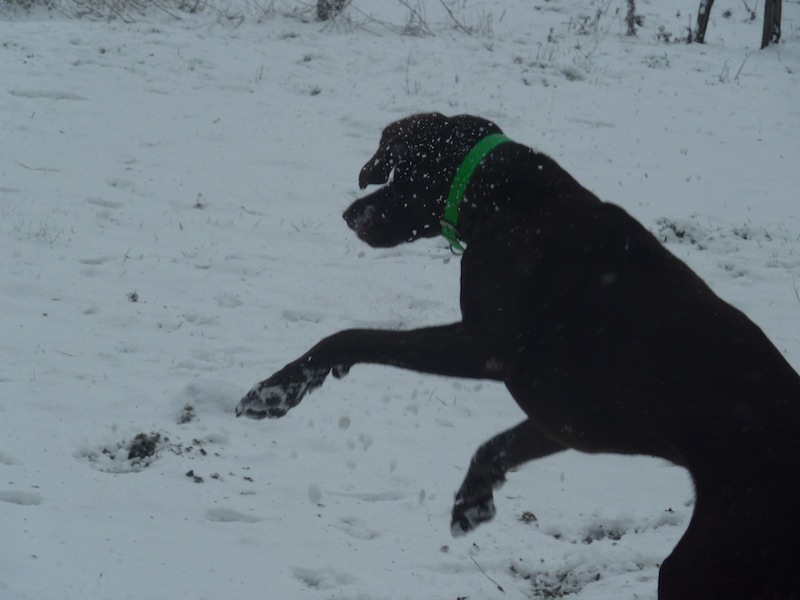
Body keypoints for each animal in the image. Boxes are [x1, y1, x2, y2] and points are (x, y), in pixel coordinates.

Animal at [238, 113, 800, 600]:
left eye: (397, 171)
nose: (350, 213)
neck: (509, 201)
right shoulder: (567, 422)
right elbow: (497, 446)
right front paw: (474, 499)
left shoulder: (485, 348)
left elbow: (350, 336)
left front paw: (279, 388)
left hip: (704, 563)